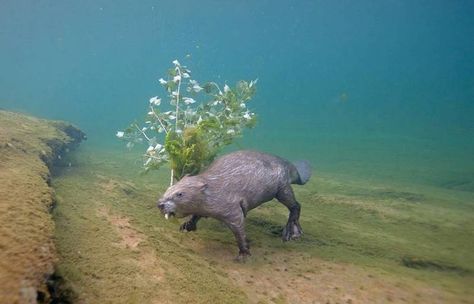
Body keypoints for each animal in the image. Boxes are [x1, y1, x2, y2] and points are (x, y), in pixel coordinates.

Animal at [157, 150, 312, 258]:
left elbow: (238, 227)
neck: (214, 186)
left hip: (282, 188)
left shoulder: (230, 206)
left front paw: (244, 253)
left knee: (295, 205)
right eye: (168, 188)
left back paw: (292, 233)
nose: (160, 204)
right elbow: (197, 214)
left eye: (180, 194)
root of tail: (292, 167)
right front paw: (186, 226)